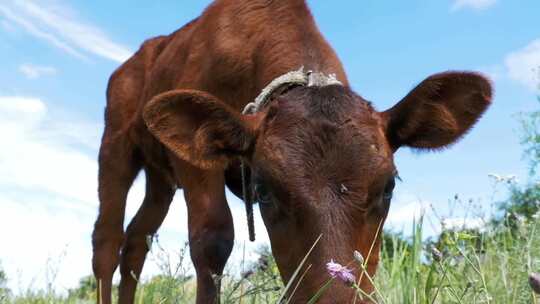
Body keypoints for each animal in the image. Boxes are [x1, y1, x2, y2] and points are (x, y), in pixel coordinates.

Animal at [93, 0, 494, 304]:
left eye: (388, 187)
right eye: (263, 192)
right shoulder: (196, 164)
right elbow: (212, 240)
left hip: (160, 179)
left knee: (136, 241)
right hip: (115, 147)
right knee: (107, 241)